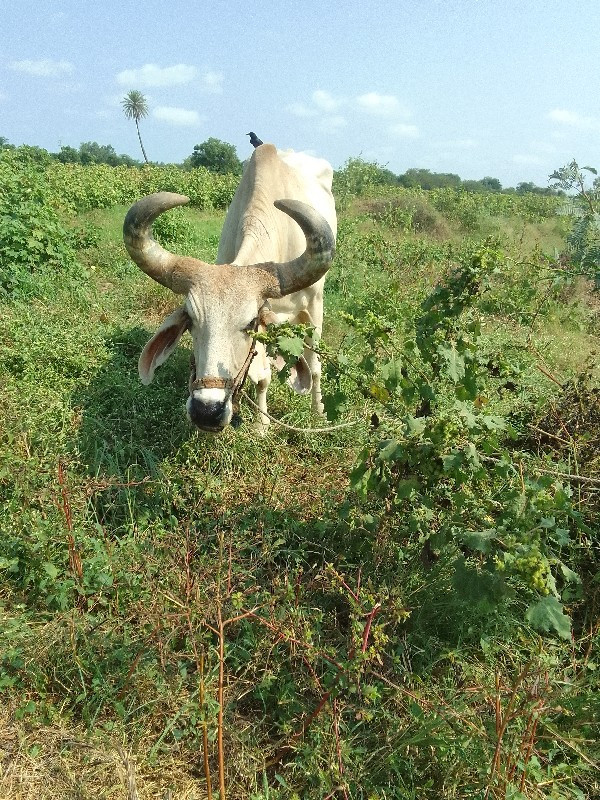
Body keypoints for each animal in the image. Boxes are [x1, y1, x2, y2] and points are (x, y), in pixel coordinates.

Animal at [122, 142, 338, 432]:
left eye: (250, 324)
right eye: (190, 321)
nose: (207, 411)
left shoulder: (312, 305)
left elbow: (312, 367)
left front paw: (310, 415)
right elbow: (262, 377)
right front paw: (261, 423)